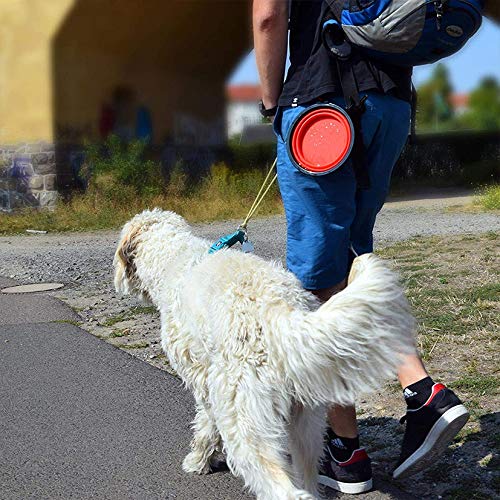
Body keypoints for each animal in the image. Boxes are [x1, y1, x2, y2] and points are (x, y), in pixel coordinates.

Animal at [115, 209, 416, 498]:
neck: (175, 258)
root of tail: (281, 313)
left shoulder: (203, 382)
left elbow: (204, 425)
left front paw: (198, 461)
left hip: (245, 421)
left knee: (283, 488)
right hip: (306, 422)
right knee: (306, 475)